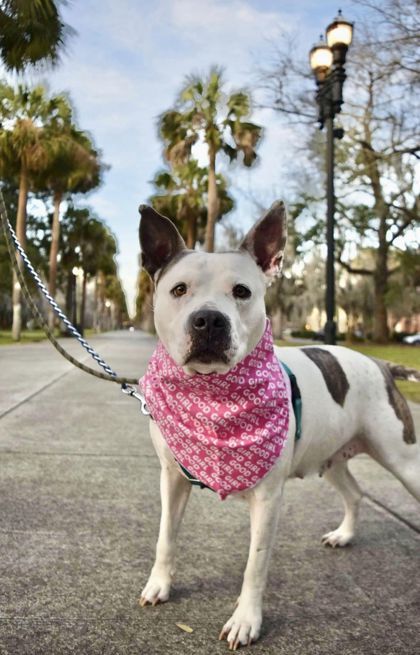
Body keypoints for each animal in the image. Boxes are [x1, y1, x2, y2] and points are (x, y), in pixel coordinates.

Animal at [136, 201, 418, 652]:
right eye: (178, 290)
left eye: (242, 291)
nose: (209, 320)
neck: (213, 394)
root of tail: (381, 364)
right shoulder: (172, 478)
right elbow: (166, 536)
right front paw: (159, 585)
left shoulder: (268, 499)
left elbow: (255, 564)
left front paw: (245, 621)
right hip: (331, 457)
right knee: (355, 494)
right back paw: (344, 535)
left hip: (404, 461)